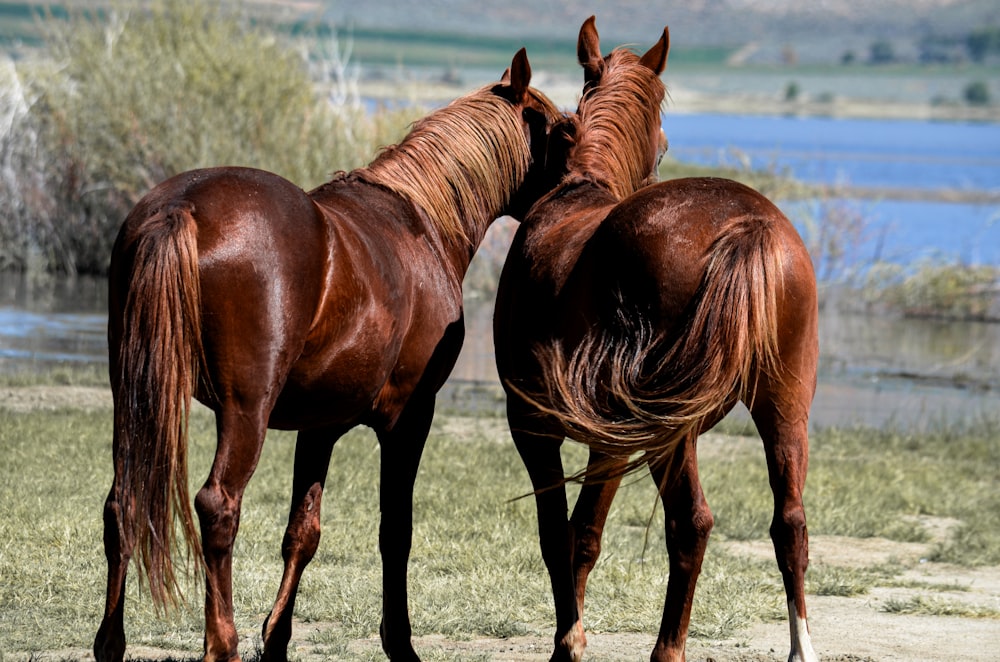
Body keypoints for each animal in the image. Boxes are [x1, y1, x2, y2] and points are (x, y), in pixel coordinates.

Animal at [95, 50, 564, 662]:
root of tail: (181, 209)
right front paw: (399, 643)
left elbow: (303, 532)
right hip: (244, 412)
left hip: (136, 395)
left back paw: (112, 642)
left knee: (122, 505)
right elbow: (395, 531)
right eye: (560, 129)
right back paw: (222, 643)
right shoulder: (409, 419)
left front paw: (277, 641)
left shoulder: (319, 427)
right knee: (218, 506)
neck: (420, 224)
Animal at [494, 18, 820, 662]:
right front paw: (572, 635)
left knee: (690, 523)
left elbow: (555, 535)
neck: (579, 193)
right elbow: (585, 537)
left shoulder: (534, 429)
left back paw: (668, 648)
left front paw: (568, 642)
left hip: (673, 428)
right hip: (782, 405)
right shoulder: (612, 443)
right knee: (789, 523)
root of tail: (750, 225)